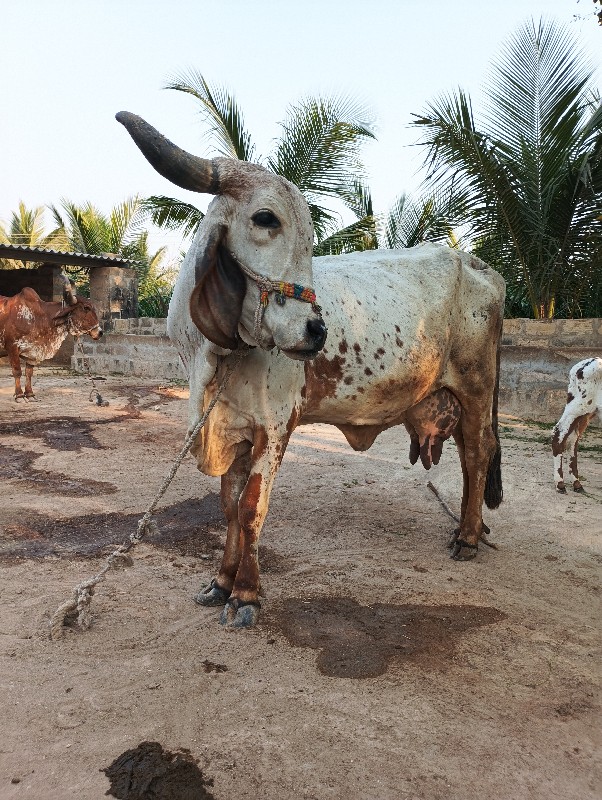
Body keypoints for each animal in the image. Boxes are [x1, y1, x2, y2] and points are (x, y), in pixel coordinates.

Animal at [115, 112, 504, 628]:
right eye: (265, 218)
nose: (316, 330)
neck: (214, 359)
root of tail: (478, 263)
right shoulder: (232, 424)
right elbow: (227, 506)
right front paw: (221, 582)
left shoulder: (274, 427)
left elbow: (250, 510)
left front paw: (245, 594)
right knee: (467, 456)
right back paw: (470, 528)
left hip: (476, 388)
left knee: (478, 455)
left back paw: (467, 537)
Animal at [552, 358, 596, 494]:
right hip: (579, 406)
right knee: (559, 432)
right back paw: (560, 484)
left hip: (586, 412)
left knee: (572, 440)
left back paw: (576, 483)